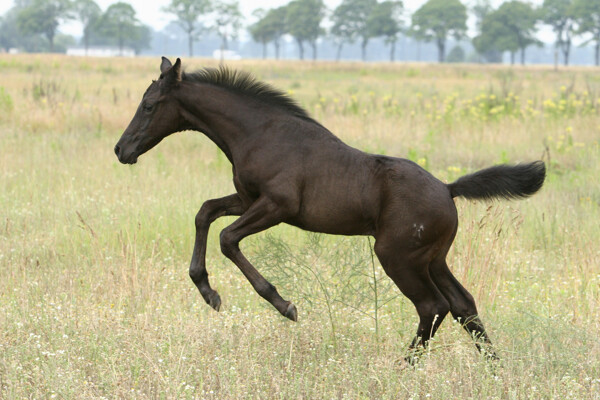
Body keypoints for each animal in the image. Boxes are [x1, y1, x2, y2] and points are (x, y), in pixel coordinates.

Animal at [115, 57, 548, 364]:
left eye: (149, 105)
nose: (121, 150)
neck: (259, 133)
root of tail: (448, 188)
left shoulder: (277, 206)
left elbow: (227, 238)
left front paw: (283, 305)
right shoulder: (247, 199)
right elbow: (205, 213)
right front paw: (208, 291)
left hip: (398, 257)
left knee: (433, 306)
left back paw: (403, 367)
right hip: (433, 258)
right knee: (463, 305)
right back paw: (495, 367)